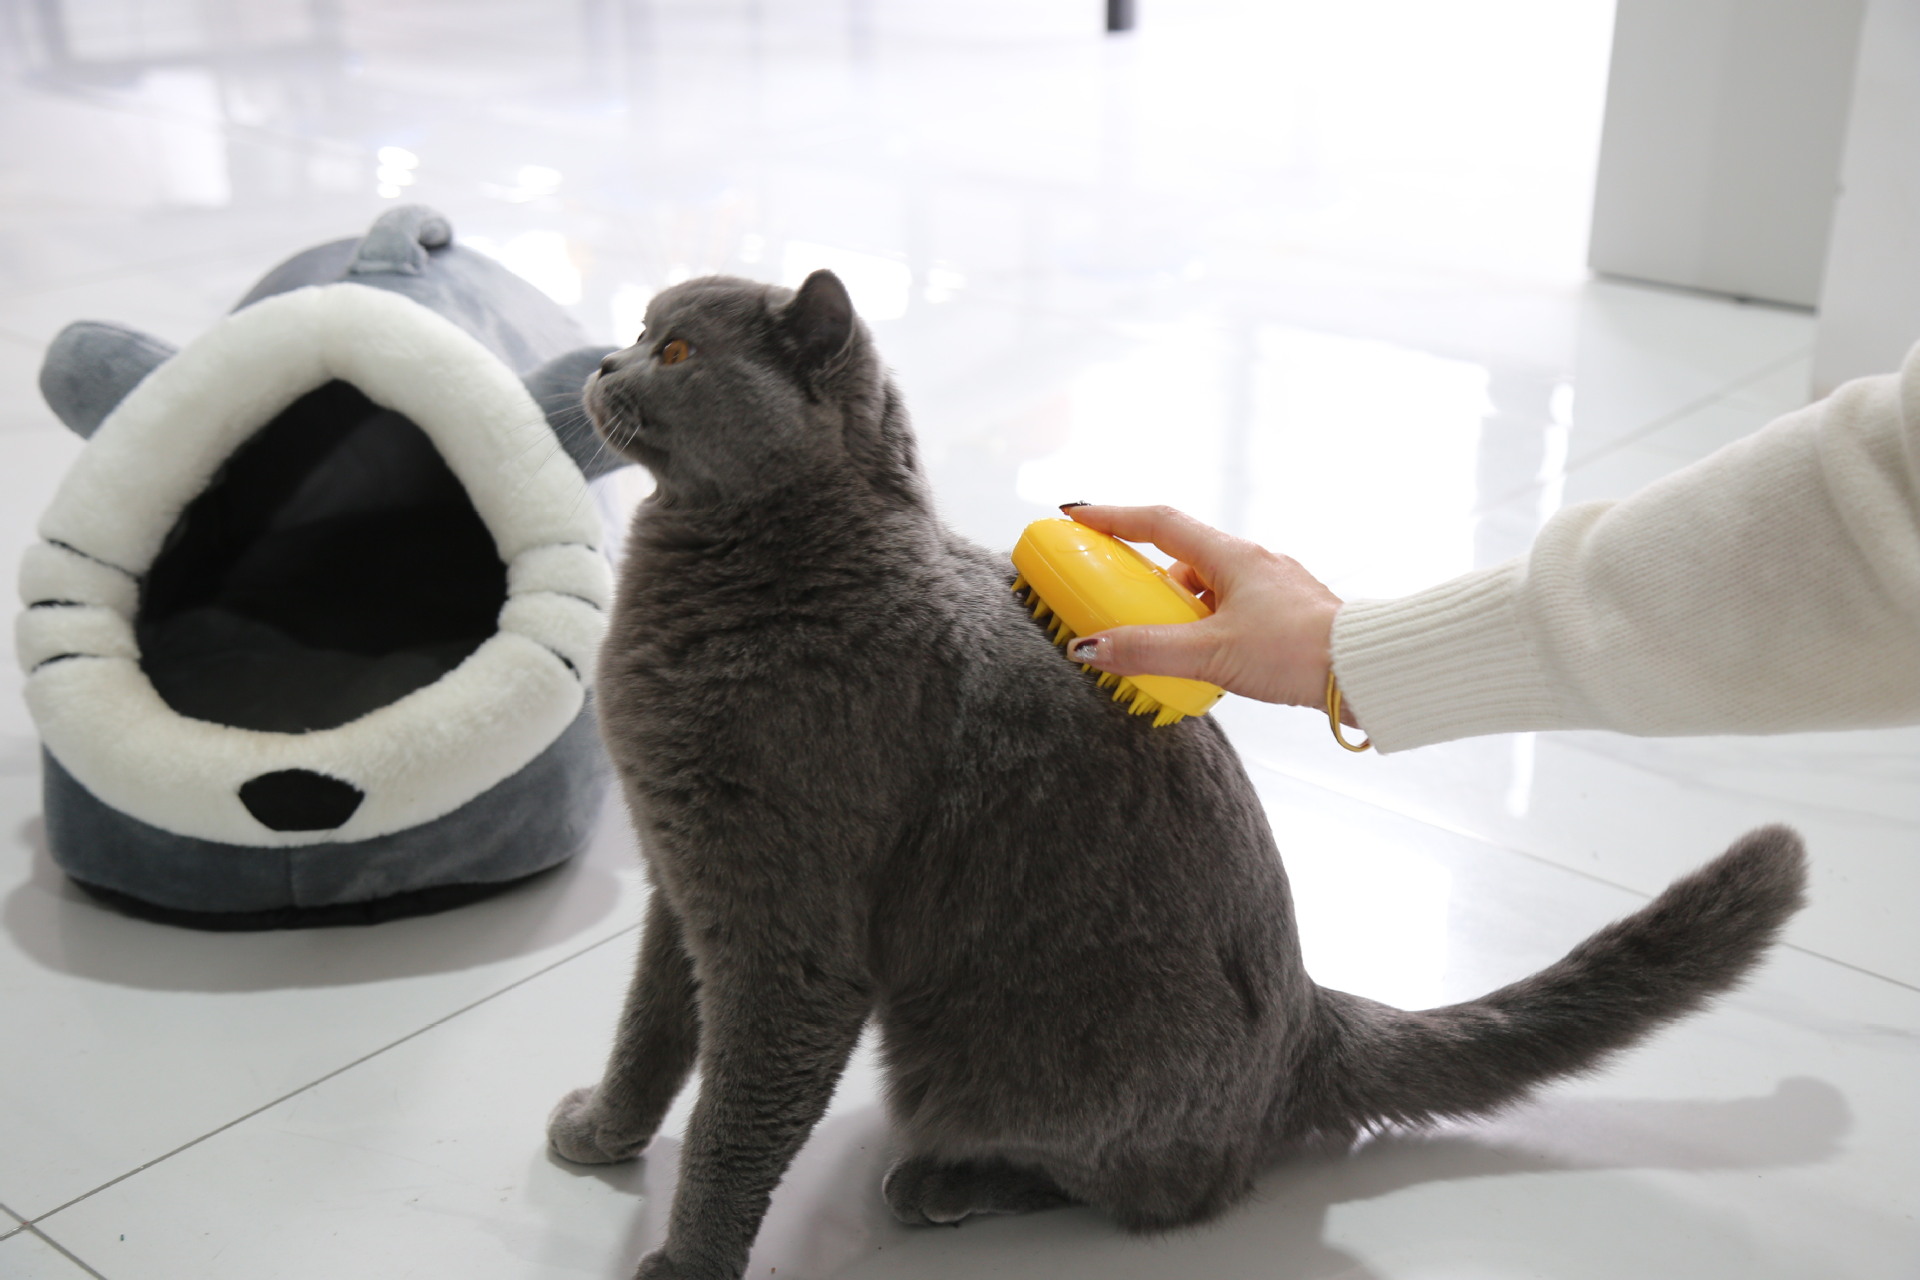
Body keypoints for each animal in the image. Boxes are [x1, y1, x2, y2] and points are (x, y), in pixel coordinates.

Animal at [546, 269, 1807, 1280]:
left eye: (677, 351)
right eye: (641, 331)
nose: (605, 357)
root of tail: (1309, 1016)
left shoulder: (787, 933)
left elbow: (737, 1116)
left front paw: (683, 1262)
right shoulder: (684, 879)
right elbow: (650, 1026)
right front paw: (602, 1130)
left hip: (983, 1049)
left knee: (1165, 1185)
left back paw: (948, 1181)